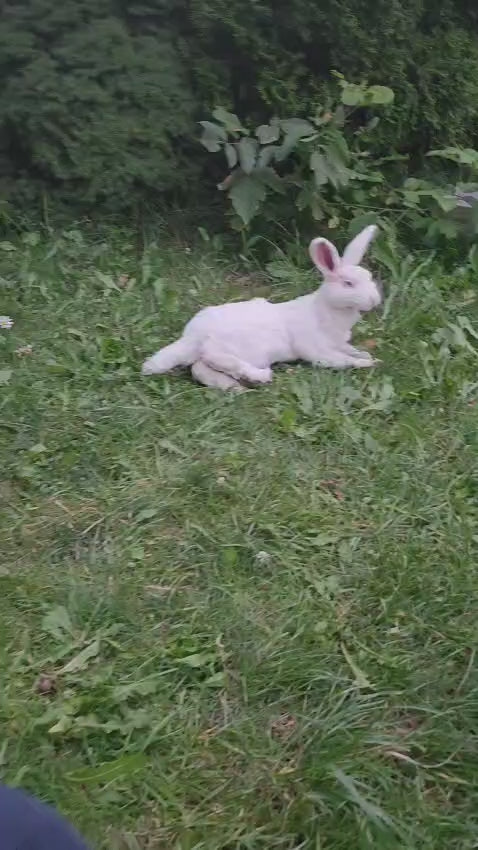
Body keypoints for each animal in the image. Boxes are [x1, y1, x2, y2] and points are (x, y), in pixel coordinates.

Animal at [141, 225, 381, 390]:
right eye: (348, 284)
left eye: (370, 277)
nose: (375, 300)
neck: (325, 310)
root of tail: (192, 336)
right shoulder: (316, 349)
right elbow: (339, 360)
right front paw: (367, 363)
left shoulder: (339, 343)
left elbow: (350, 350)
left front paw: (365, 355)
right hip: (233, 347)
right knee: (213, 358)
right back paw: (257, 376)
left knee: (199, 368)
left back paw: (234, 387)